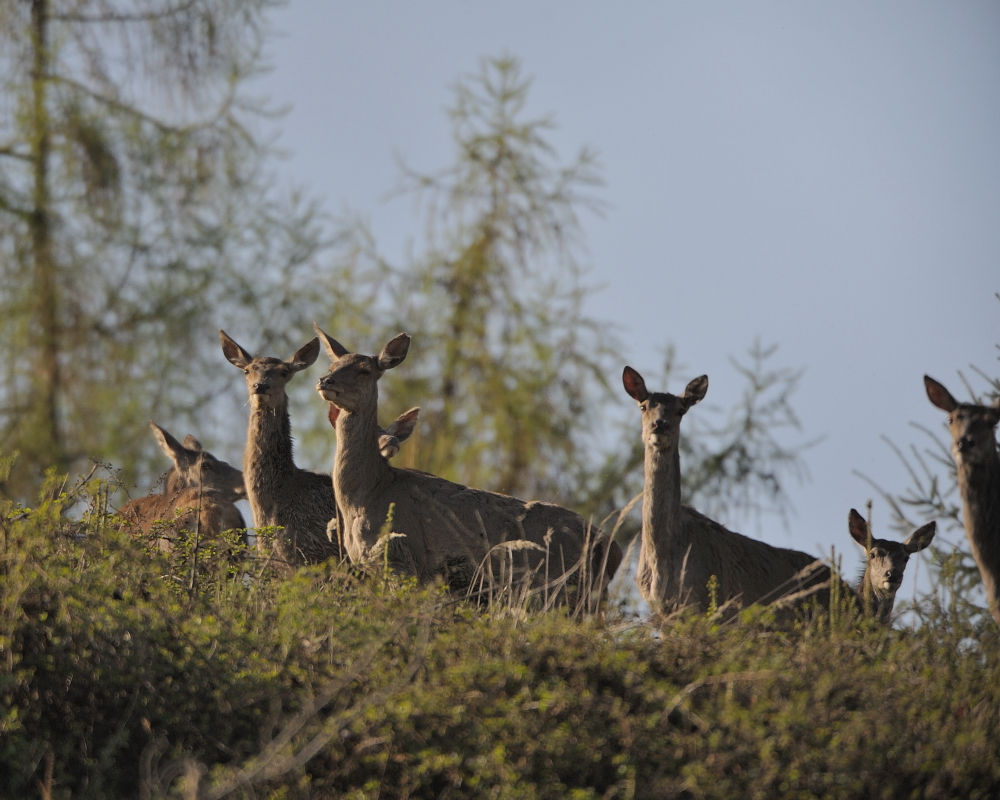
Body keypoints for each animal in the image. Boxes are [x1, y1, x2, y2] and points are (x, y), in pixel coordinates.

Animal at [316, 324, 620, 608]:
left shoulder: (403, 558)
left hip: (554, 586)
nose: (325, 380)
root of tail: (609, 545)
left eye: (365, 370)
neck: (368, 495)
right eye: (332, 366)